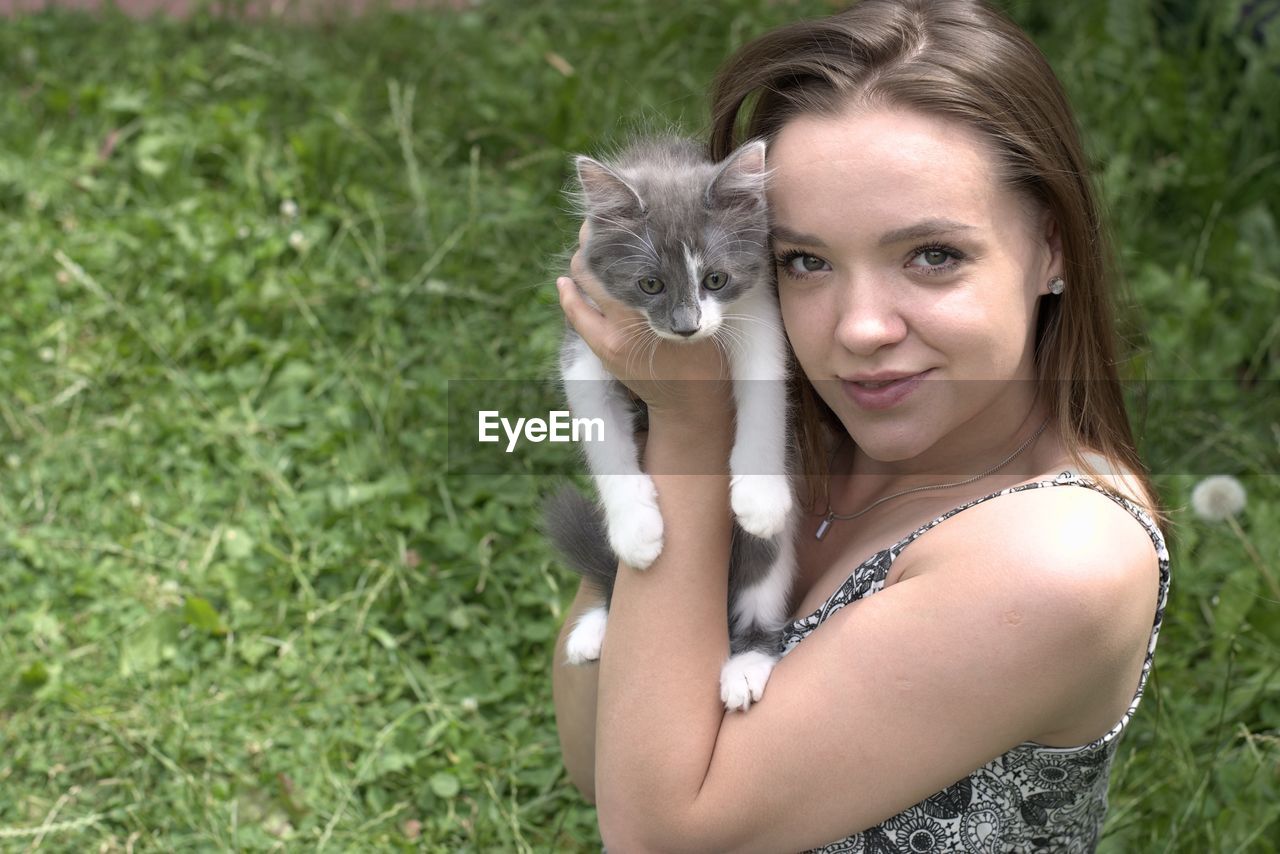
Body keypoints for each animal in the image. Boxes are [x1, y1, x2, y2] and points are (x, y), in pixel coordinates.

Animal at [542, 136, 798, 717]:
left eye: (715, 279)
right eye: (651, 284)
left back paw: (747, 666)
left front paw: (760, 496)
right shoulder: (582, 350)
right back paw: (595, 627)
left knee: (761, 597)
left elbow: (765, 399)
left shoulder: (759, 314)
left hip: (766, 566)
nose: (686, 327)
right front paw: (635, 529)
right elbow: (604, 444)